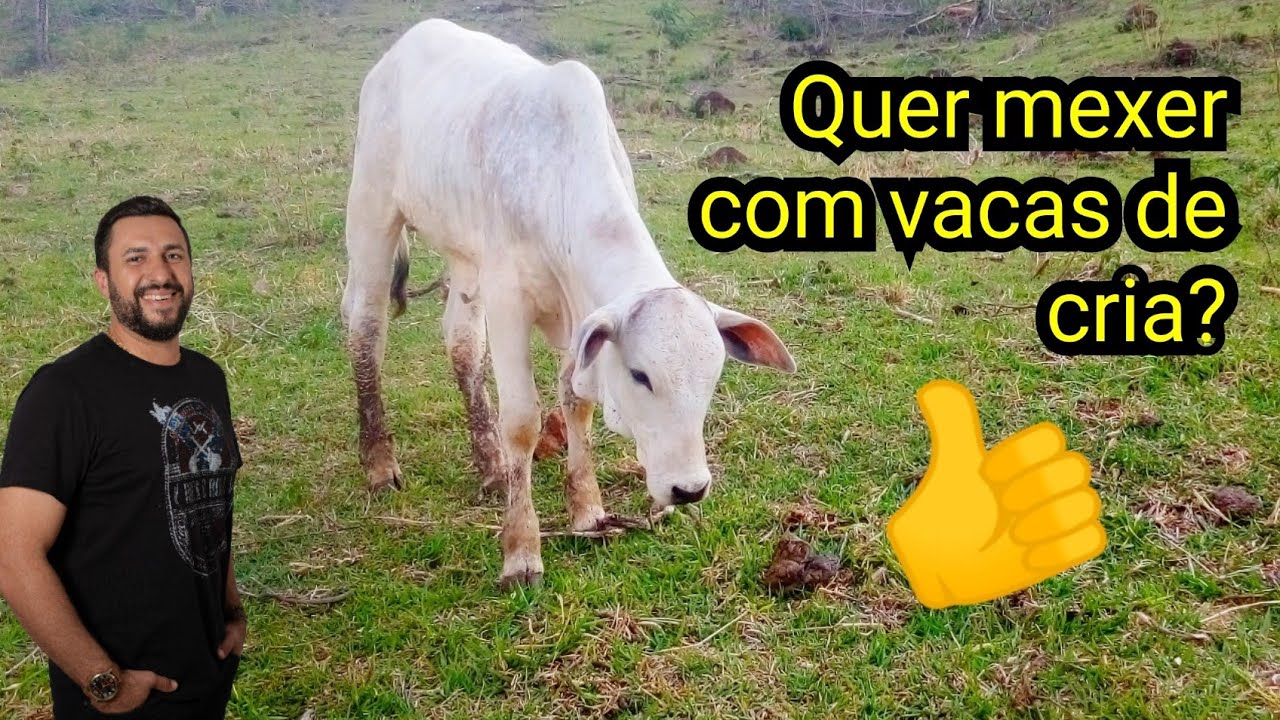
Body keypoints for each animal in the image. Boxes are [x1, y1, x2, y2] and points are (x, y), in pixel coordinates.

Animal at [340, 18, 796, 588]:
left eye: (714, 376)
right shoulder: (508, 299)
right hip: (373, 214)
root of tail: (405, 44)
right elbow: (523, 421)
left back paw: (491, 466)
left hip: (464, 255)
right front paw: (521, 551)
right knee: (365, 325)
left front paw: (587, 511)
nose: (688, 489)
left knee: (461, 343)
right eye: (641, 376)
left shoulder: (580, 318)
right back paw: (380, 464)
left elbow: (577, 403)